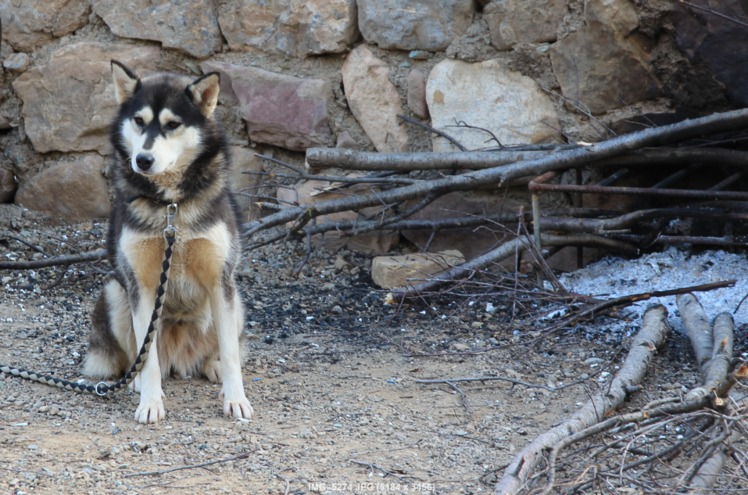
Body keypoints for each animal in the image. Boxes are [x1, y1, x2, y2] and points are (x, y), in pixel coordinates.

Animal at [84, 60, 254, 424]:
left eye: (172, 124)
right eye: (139, 121)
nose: (143, 160)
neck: (170, 205)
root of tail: (180, 359)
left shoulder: (221, 280)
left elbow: (232, 353)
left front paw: (236, 399)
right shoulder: (141, 286)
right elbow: (146, 359)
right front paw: (150, 403)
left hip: (237, 303)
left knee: (219, 349)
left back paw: (212, 366)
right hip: (115, 293)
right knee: (138, 357)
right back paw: (136, 382)